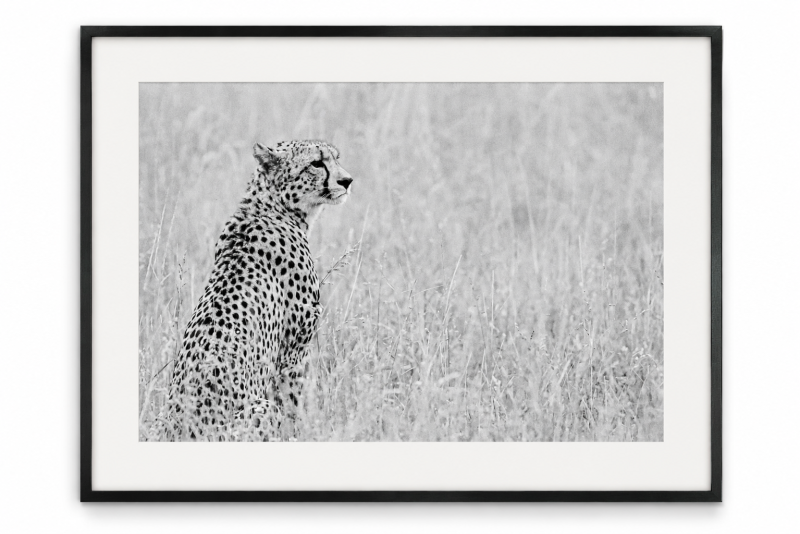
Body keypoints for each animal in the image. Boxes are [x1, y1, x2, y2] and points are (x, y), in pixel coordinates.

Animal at [148, 139, 354, 441]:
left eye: (336, 158)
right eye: (316, 163)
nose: (347, 181)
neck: (272, 208)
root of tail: (177, 431)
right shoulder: (293, 353)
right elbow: (293, 404)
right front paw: (303, 433)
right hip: (260, 409)